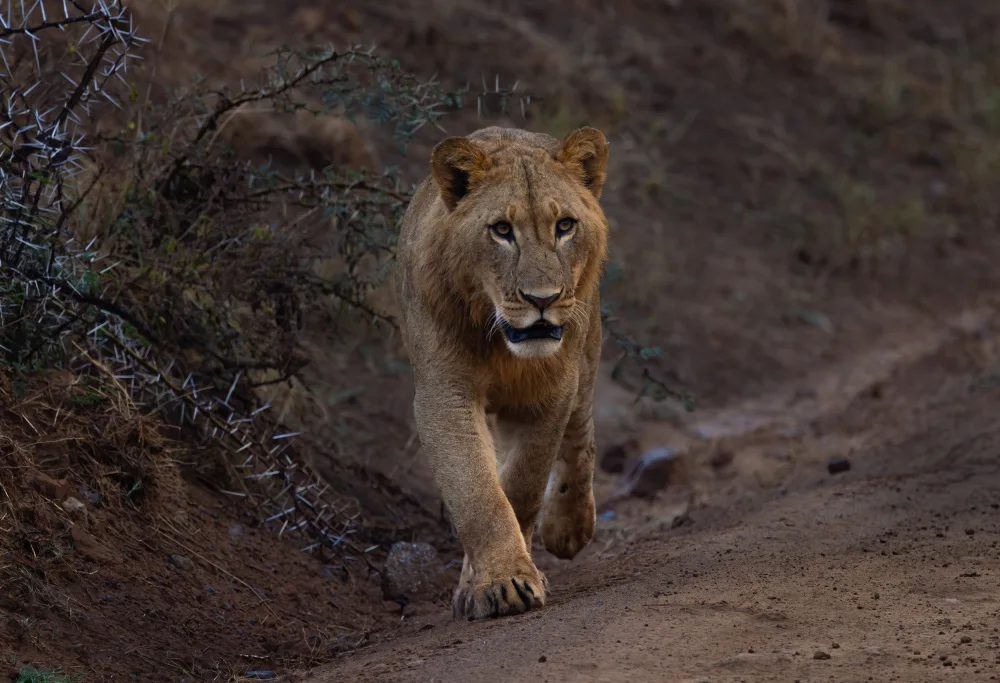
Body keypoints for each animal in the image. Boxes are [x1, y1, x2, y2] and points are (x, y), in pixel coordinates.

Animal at [395, 124, 610, 620]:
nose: (542, 300)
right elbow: (478, 491)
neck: (502, 347)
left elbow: (524, 483)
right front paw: (500, 582)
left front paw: (508, 573)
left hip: (585, 350)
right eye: (501, 231)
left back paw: (569, 527)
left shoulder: (551, 390)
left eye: (565, 226)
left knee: (582, 431)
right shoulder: (444, 393)